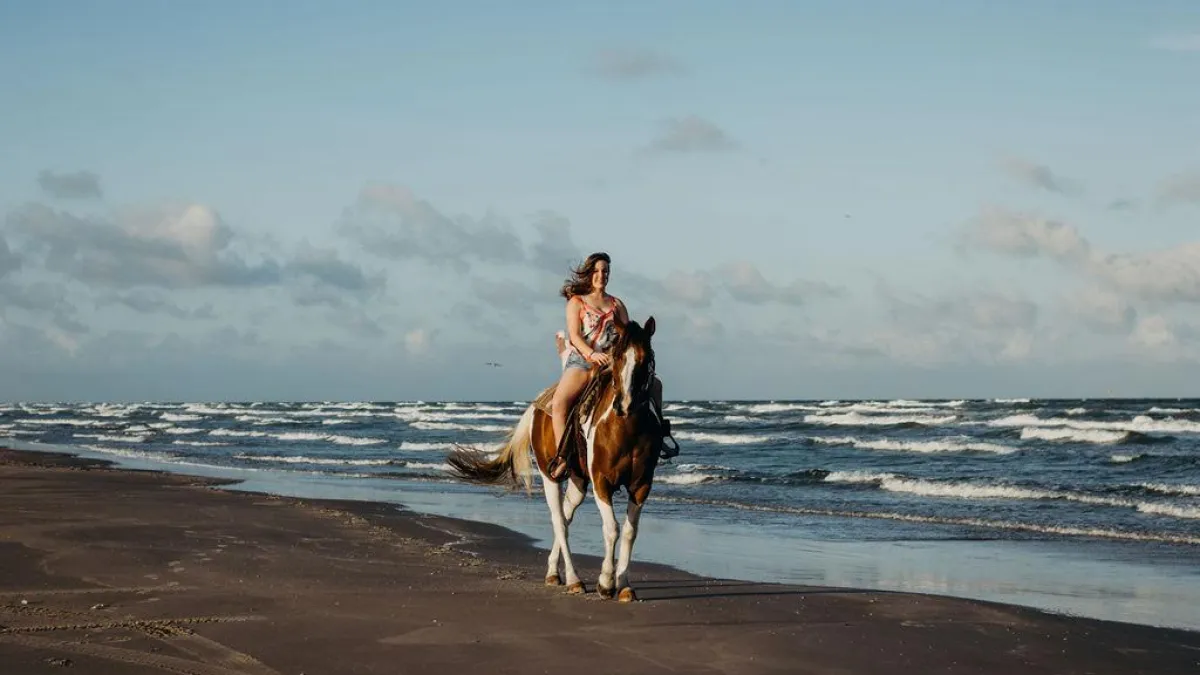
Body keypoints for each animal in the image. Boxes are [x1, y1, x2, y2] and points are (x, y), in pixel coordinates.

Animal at [447, 317, 663, 602]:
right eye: (616, 356)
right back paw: (573, 579)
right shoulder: (601, 482)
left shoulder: (641, 485)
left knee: (566, 515)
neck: (627, 429)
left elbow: (629, 531)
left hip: (578, 480)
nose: (624, 405)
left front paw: (624, 585)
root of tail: (538, 404)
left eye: (646, 358)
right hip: (550, 475)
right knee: (559, 522)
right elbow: (612, 528)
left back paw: (553, 572)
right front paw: (605, 583)